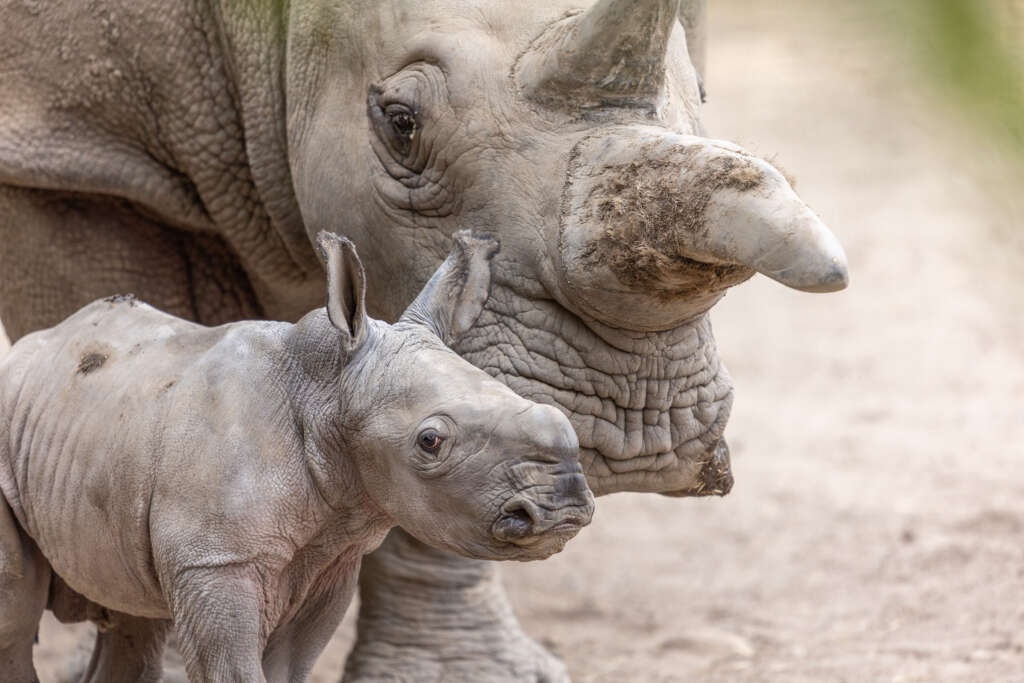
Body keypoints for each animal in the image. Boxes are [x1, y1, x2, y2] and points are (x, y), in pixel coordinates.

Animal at [0, 231, 594, 683]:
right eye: (430, 442)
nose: (563, 507)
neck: (327, 390)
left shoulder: (331, 557)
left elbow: (289, 668)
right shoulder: (216, 560)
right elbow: (232, 669)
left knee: (134, 621)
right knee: (15, 619)